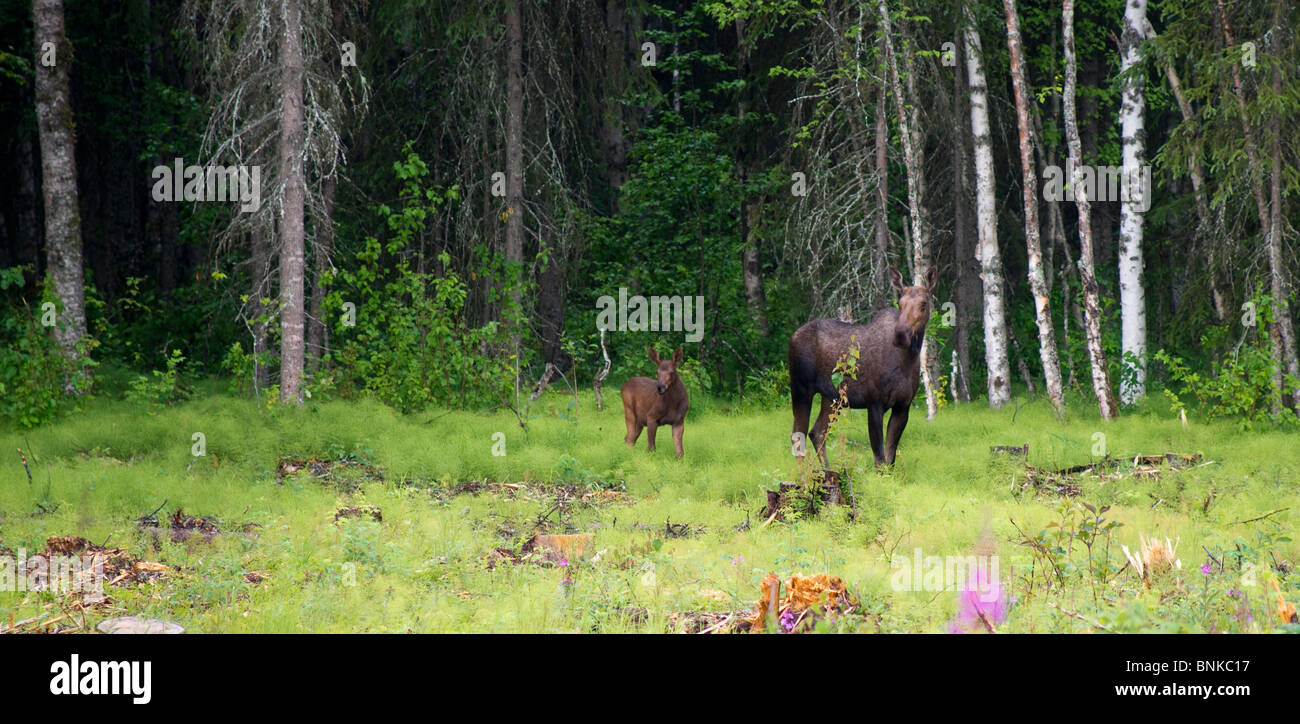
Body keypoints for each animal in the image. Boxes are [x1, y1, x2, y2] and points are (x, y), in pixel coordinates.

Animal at [788, 266, 936, 468]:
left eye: (923, 304)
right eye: (900, 303)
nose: (900, 334)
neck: (907, 360)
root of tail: (792, 336)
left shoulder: (903, 406)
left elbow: (890, 459)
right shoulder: (874, 403)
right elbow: (879, 459)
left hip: (832, 397)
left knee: (816, 432)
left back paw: (827, 470)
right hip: (800, 389)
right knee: (798, 435)